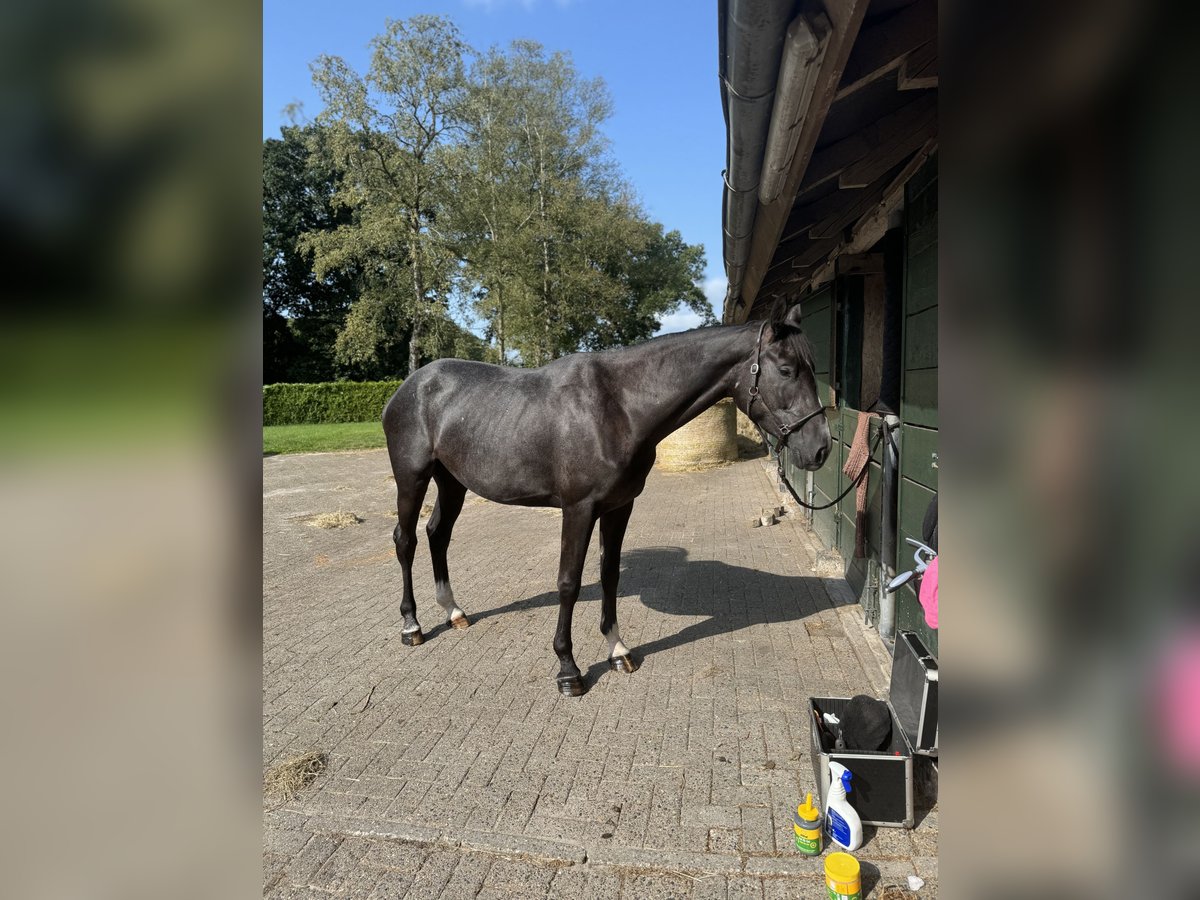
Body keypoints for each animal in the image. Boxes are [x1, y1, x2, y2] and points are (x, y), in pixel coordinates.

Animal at [379, 309, 830, 696]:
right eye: (787, 370)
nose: (821, 448)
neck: (618, 407)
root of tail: (410, 386)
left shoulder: (619, 507)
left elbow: (609, 574)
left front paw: (618, 651)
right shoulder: (578, 510)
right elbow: (569, 582)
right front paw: (568, 670)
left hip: (452, 482)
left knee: (437, 534)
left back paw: (454, 611)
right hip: (412, 478)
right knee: (407, 540)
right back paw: (411, 626)